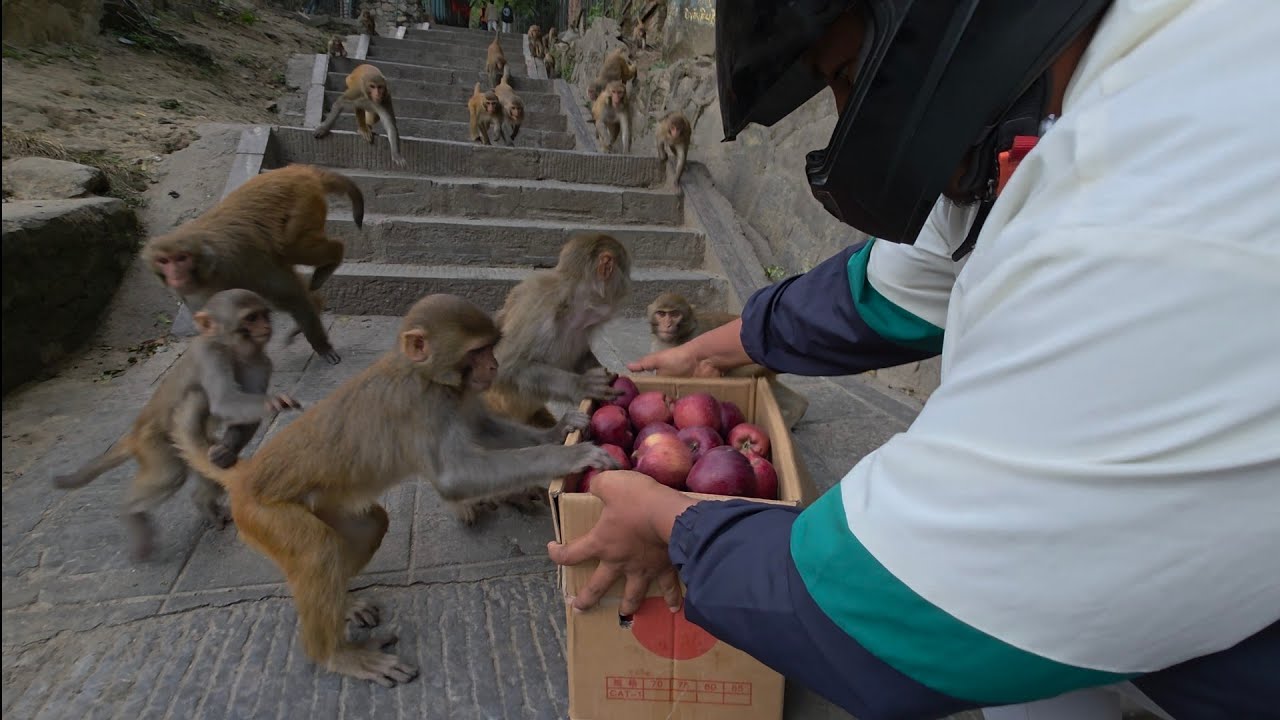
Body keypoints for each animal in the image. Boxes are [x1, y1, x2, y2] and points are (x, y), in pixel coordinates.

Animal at [51, 290, 300, 561]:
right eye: (251, 317)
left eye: (264, 314)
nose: (266, 326)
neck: (233, 350)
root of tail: (135, 432)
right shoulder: (209, 354)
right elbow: (224, 401)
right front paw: (273, 401)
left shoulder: (260, 361)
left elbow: (243, 422)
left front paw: (225, 452)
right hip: (155, 445)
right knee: (170, 474)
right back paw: (130, 512)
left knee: (203, 458)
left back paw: (204, 500)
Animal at [142, 165, 361, 365]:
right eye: (164, 261)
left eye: (181, 258)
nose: (175, 274)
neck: (208, 269)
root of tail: (299, 170)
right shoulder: (194, 293)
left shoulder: (243, 262)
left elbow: (291, 296)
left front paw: (322, 346)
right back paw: (317, 302)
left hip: (304, 202)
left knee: (291, 249)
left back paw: (334, 255)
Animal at [169, 293, 620, 686]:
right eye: (478, 351)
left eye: (491, 348)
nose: (494, 365)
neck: (426, 376)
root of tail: (244, 477)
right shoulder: (423, 407)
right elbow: (455, 478)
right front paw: (569, 455)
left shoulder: (456, 399)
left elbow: (482, 428)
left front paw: (558, 430)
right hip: (266, 514)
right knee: (317, 550)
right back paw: (336, 654)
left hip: (318, 506)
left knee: (368, 526)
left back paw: (343, 605)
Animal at [484, 233, 632, 429]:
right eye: (625, 272)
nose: (628, 285)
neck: (573, 304)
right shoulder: (539, 313)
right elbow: (505, 366)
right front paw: (580, 385)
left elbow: (581, 356)